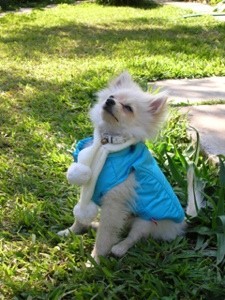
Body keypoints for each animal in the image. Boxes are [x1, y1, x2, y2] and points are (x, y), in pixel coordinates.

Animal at [59, 72, 203, 262]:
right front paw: (71, 232)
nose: (109, 101)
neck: (106, 143)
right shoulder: (91, 185)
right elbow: (80, 217)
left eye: (128, 108)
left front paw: (95, 260)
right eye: (112, 97)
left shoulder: (114, 204)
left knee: (134, 235)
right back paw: (95, 224)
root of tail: (183, 220)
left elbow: (105, 236)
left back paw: (119, 247)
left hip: (147, 220)